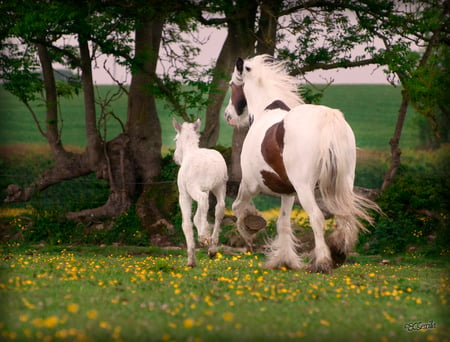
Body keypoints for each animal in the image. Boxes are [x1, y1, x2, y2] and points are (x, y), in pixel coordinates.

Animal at [172, 119, 229, 266]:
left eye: (175, 139)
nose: (175, 157)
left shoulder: (184, 194)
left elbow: (186, 223)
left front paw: (191, 260)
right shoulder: (206, 189)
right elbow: (197, 217)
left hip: (195, 188)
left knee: (203, 200)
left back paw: (204, 237)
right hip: (220, 186)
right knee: (219, 208)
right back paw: (212, 248)